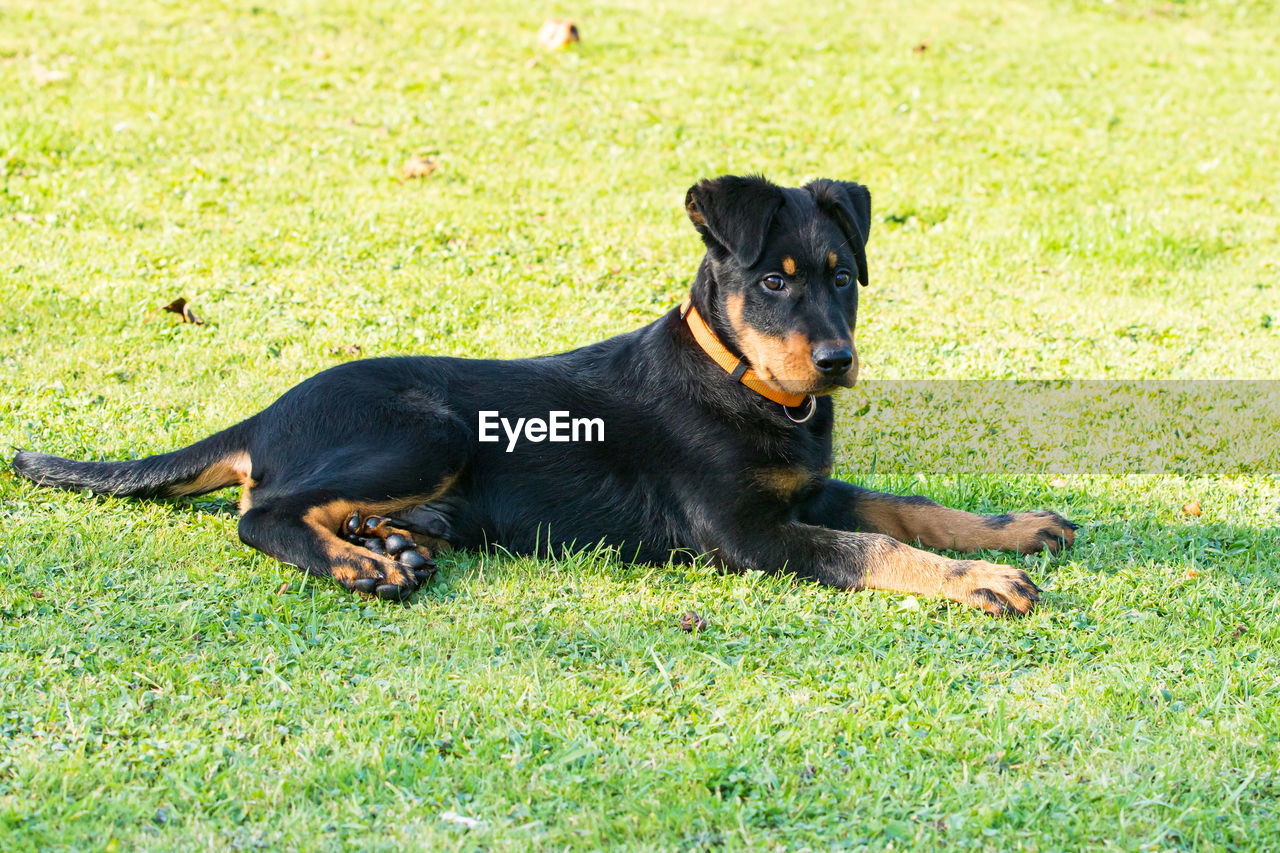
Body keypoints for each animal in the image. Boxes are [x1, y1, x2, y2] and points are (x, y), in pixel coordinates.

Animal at [10, 174, 1075, 612]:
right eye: (772, 281)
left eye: (841, 275)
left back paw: (396, 541)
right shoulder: (748, 533)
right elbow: (874, 544)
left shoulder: (804, 491)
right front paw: (979, 580)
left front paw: (1013, 529)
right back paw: (361, 563)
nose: (835, 361)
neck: (741, 383)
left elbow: (908, 505)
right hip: (425, 430)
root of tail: (267, 412)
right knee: (258, 508)